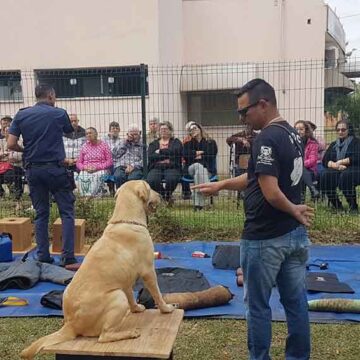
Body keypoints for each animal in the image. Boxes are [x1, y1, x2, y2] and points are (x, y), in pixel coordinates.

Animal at [21, 181, 174, 358]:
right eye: (150, 188)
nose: (161, 195)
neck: (126, 220)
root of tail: (71, 325)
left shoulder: (126, 282)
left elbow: (132, 297)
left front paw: (136, 309)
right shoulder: (149, 271)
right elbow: (157, 294)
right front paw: (166, 309)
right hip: (117, 296)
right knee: (104, 336)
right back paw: (129, 333)